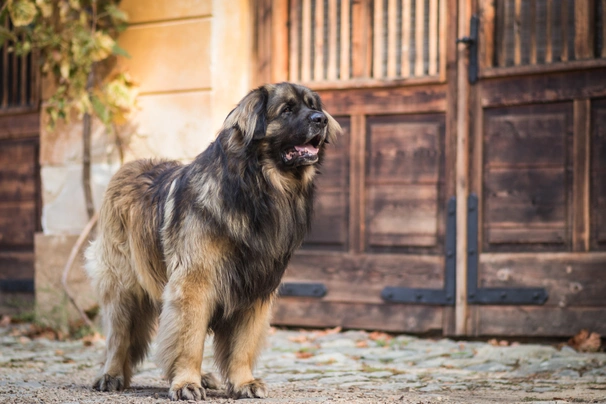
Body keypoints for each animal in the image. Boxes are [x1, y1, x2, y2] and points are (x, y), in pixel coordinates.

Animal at [84, 83, 342, 400]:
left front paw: (244, 382)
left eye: (313, 105)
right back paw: (110, 375)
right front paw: (186, 383)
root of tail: (126, 168)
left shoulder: (255, 287)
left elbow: (242, 345)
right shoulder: (194, 282)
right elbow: (189, 339)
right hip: (122, 286)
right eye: (287, 110)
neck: (258, 189)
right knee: (118, 337)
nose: (321, 119)